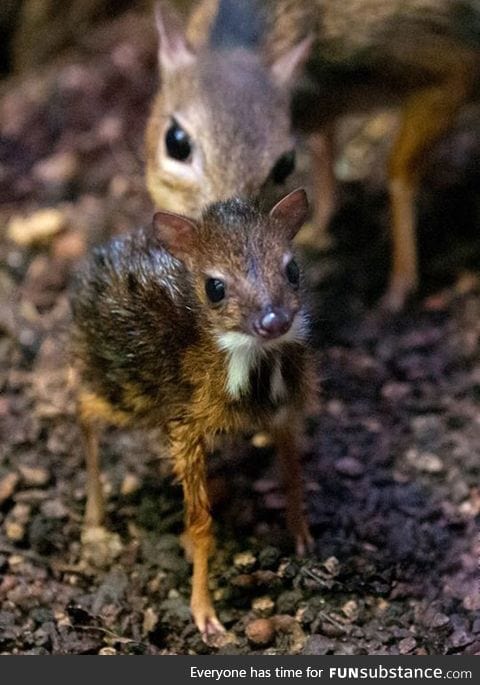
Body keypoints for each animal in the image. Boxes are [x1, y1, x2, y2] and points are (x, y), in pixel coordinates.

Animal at [71, 187, 316, 636]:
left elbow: (292, 472)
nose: (274, 320)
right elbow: (201, 524)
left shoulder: (285, 411)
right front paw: (204, 612)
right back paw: (94, 518)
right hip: (127, 391)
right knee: (82, 406)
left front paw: (302, 534)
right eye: (215, 287)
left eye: (292, 270)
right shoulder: (185, 424)